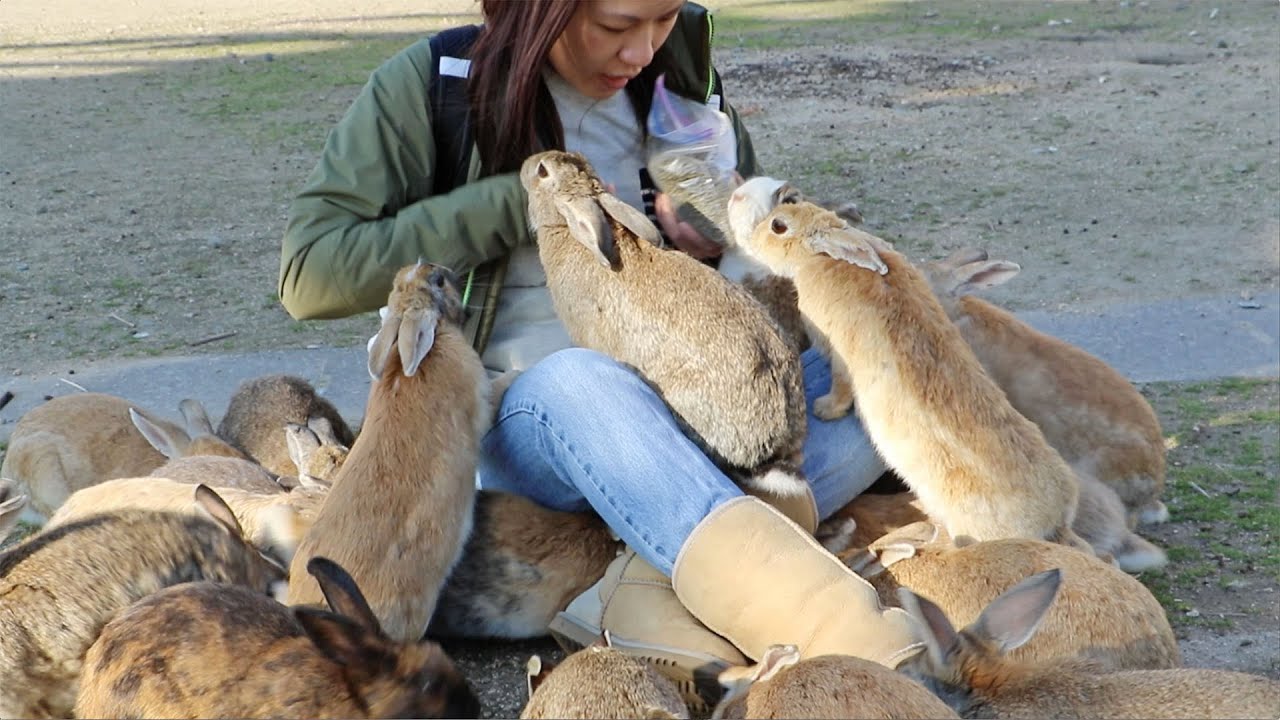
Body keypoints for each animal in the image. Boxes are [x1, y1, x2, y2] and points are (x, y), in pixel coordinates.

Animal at [732, 199, 1093, 553]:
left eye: (779, 226)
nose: (752, 237)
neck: (818, 257)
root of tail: (1054, 522)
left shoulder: (837, 357)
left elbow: (841, 387)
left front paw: (824, 410)